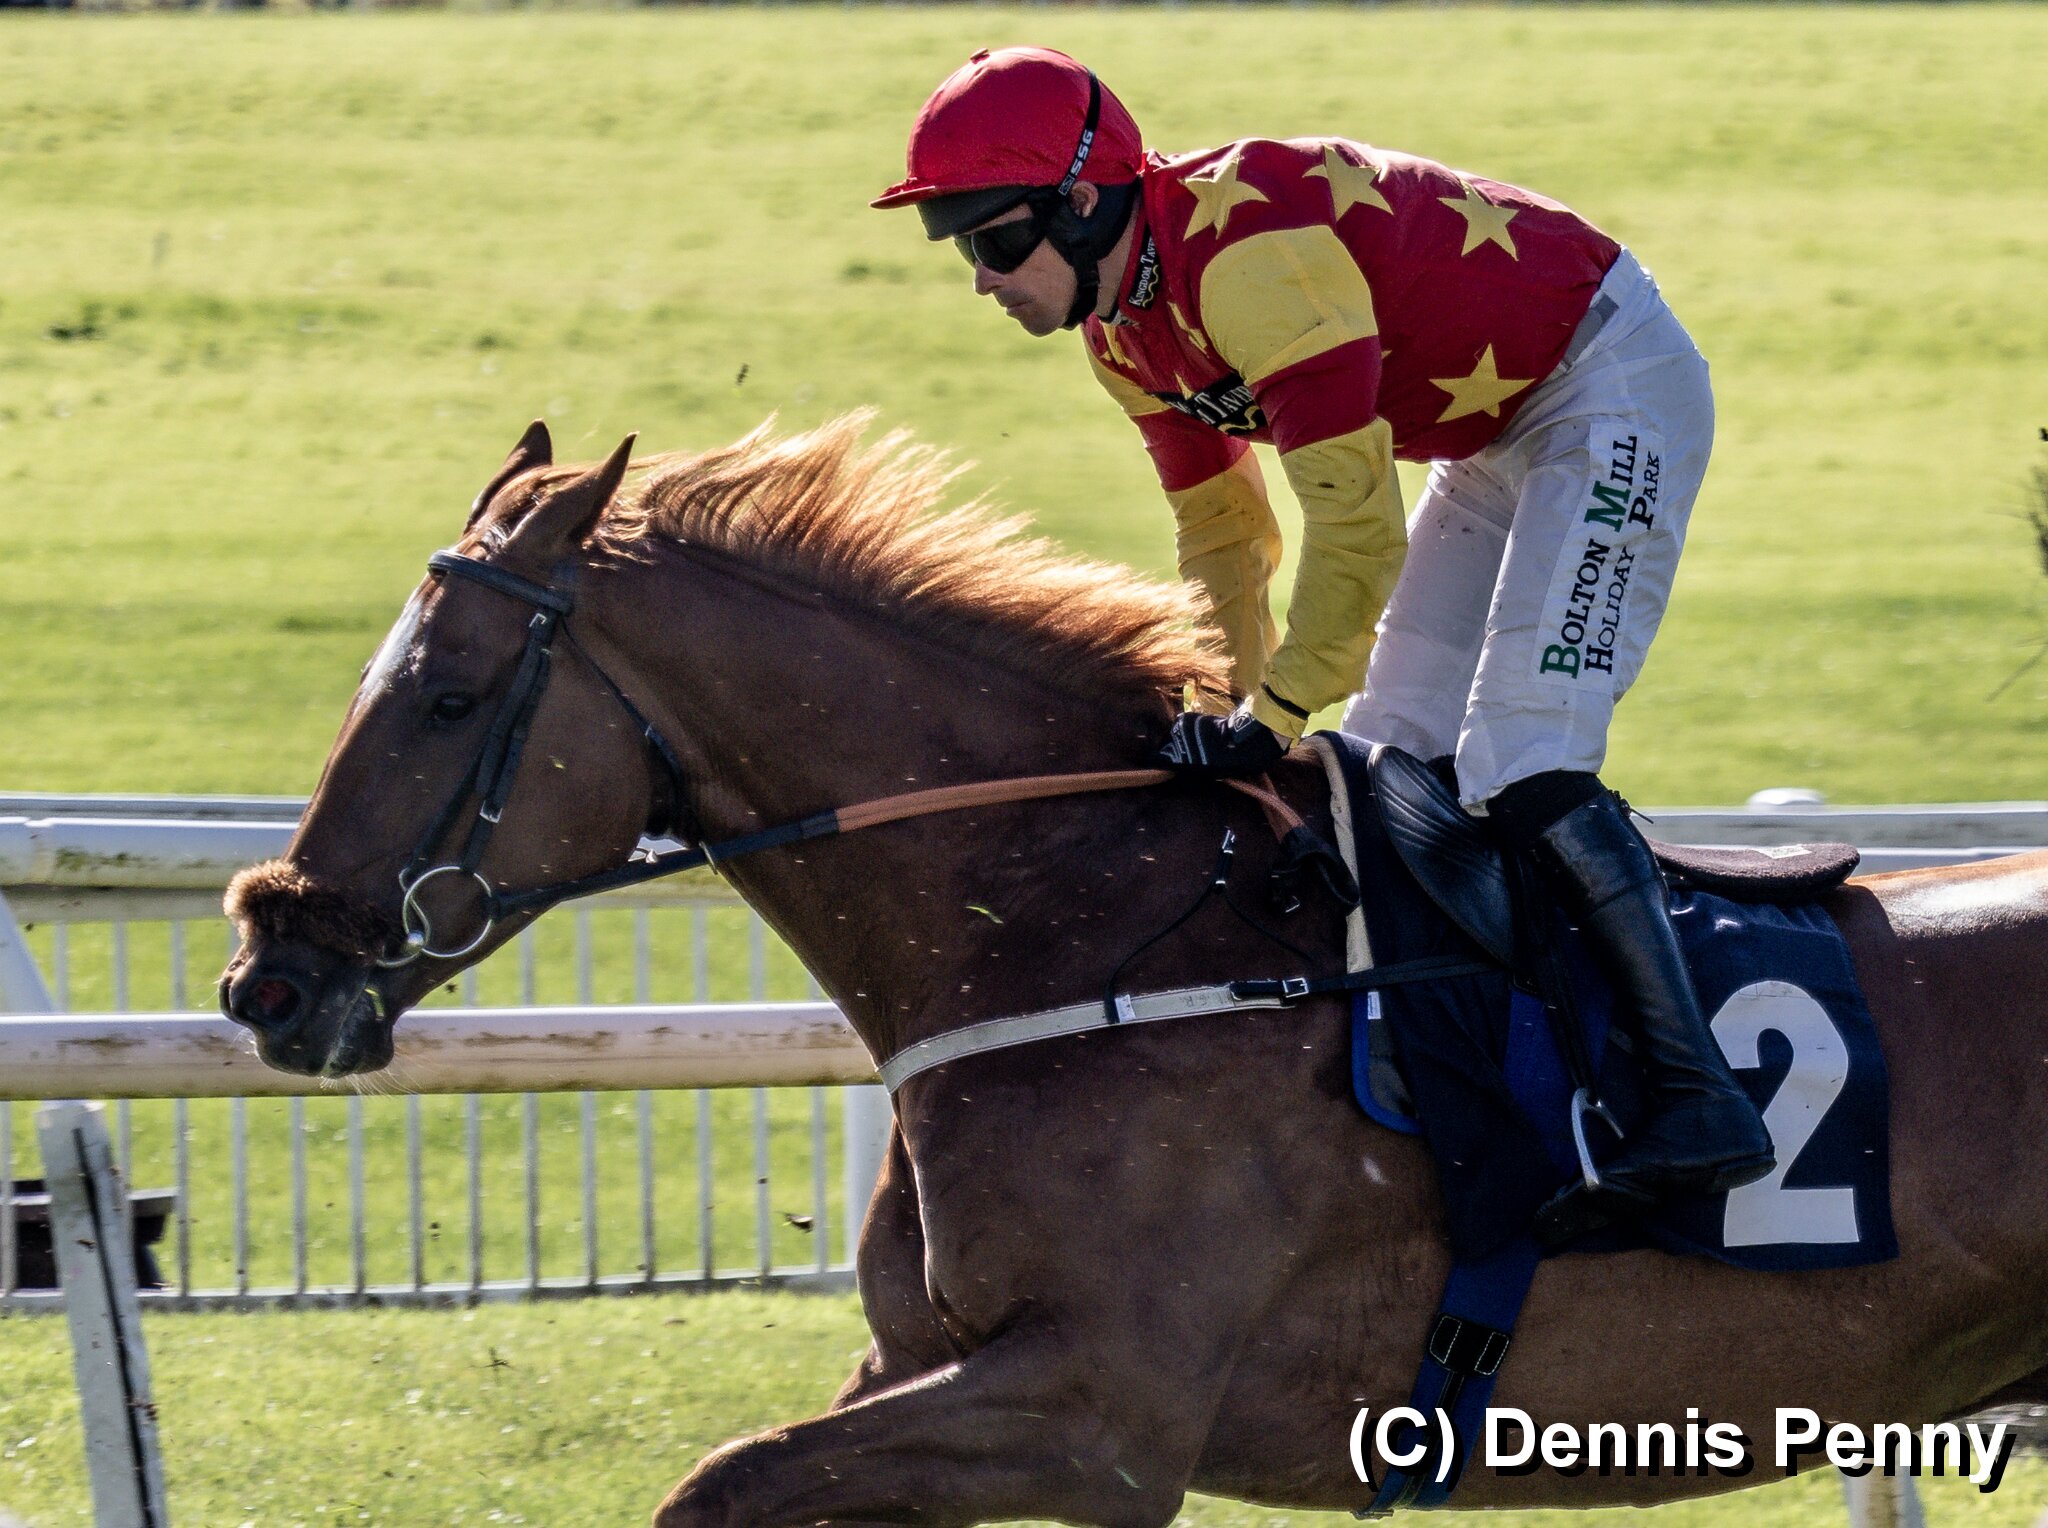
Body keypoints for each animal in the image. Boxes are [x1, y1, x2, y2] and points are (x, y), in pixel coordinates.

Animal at [219, 415, 2048, 1526]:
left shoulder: (1099, 1409)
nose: (267, 975)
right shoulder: (928, 1372)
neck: (1082, 928)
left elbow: (718, 1479)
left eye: (448, 695)